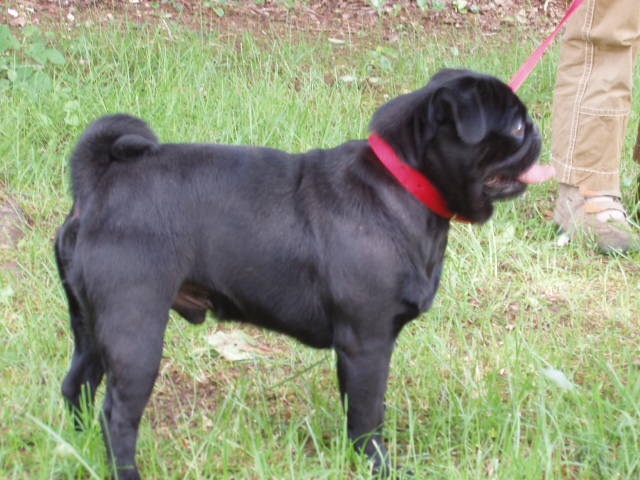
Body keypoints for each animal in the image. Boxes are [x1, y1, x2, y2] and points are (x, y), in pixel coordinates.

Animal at [55, 69, 552, 479]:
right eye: (516, 128)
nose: (538, 131)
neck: (401, 186)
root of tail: (99, 187)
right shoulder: (367, 345)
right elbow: (367, 417)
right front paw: (379, 467)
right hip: (135, 330)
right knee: (118, 415)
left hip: (94, 329)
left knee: (77, 385)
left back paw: (78, 447)